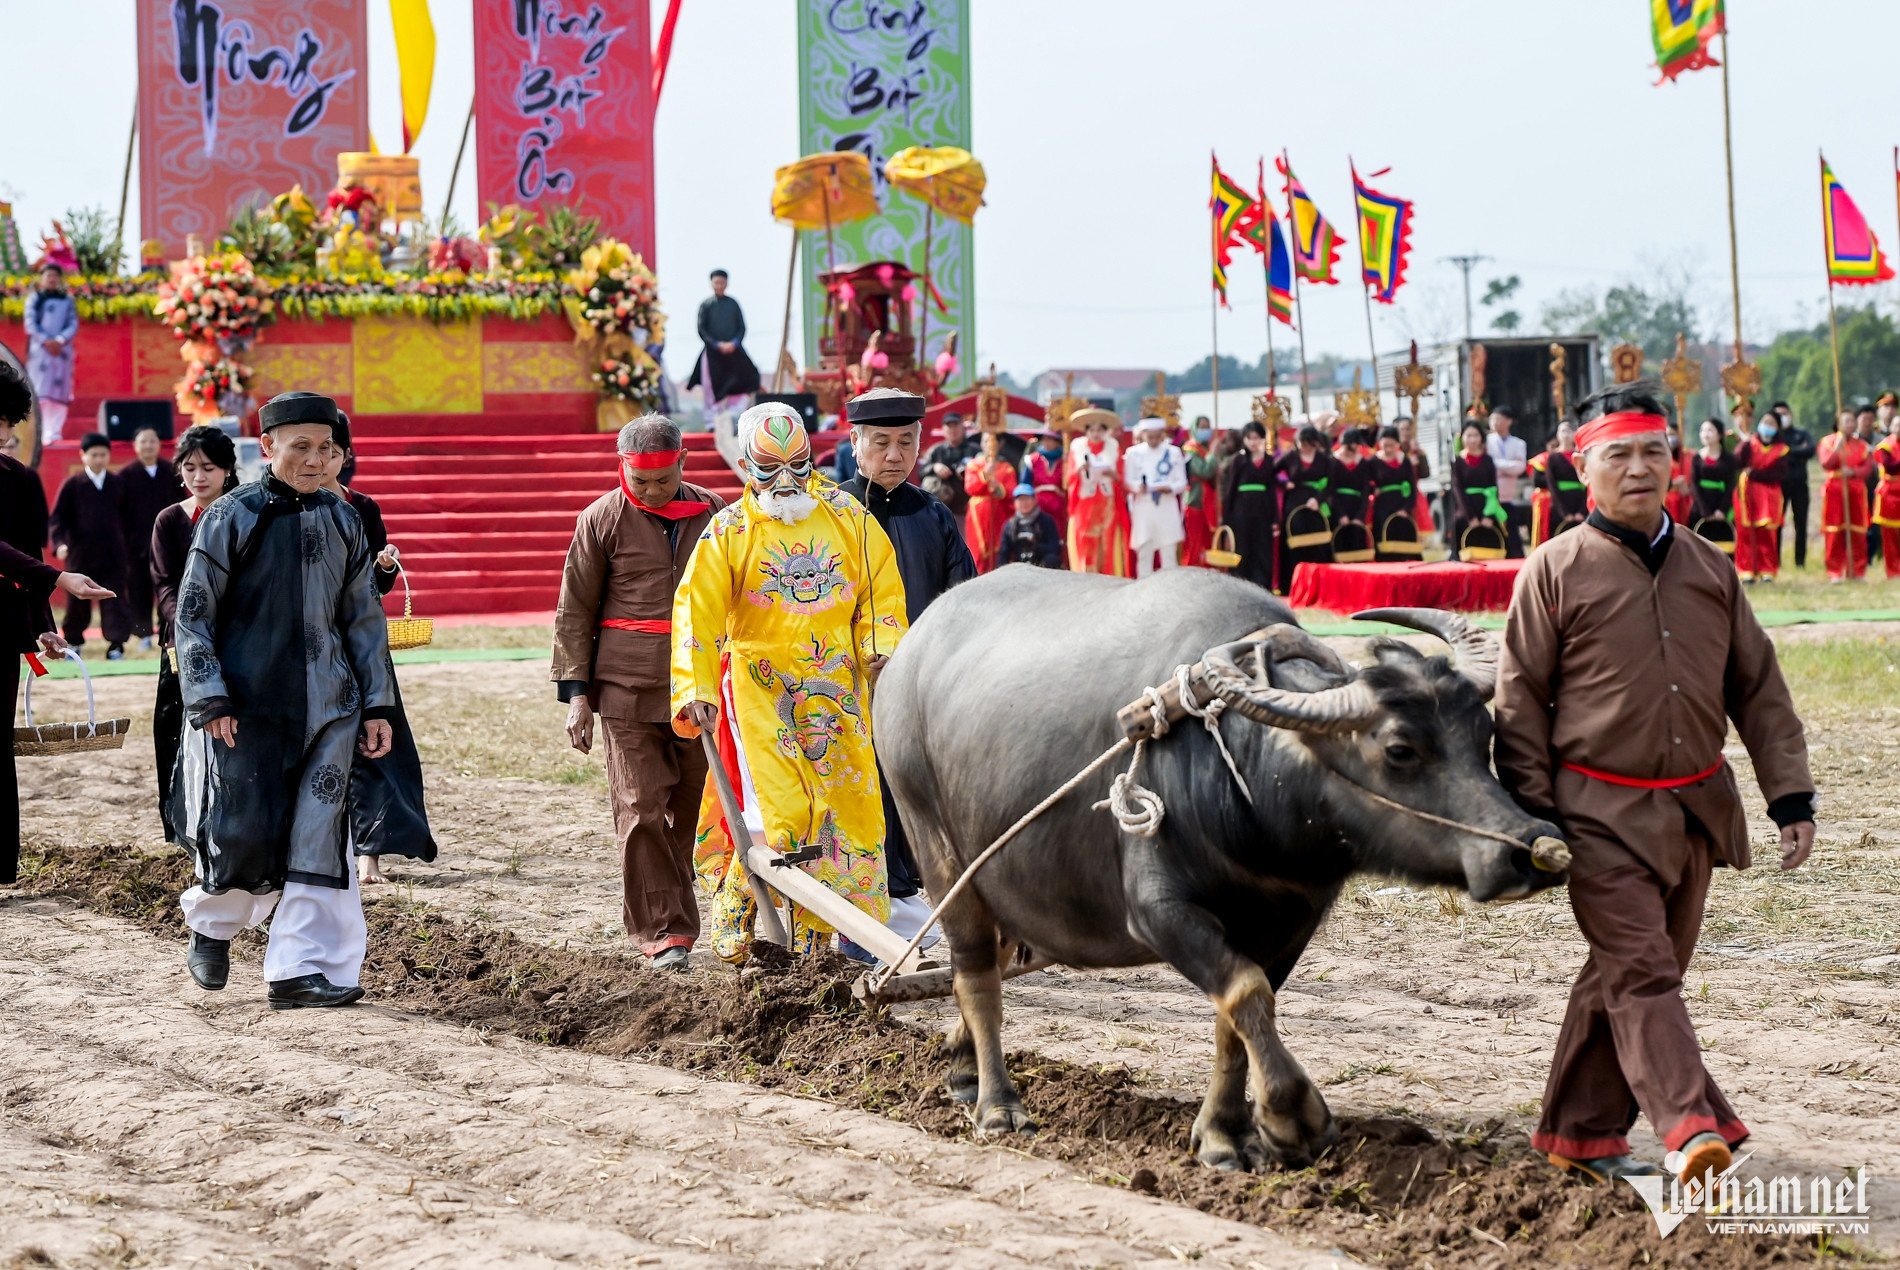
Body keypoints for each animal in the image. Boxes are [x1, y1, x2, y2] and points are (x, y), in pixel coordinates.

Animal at [870, 566, 1565, 1171]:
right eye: (1399, 750)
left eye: (1484, 733)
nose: (1532, 848)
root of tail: (907, 656)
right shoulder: (1160, 913)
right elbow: (1245, 993)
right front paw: (1293, 1120)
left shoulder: (1290, 922)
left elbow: (1240, 1017)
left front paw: (1225, 1136)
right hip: (938, 852)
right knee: (975, 974)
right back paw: (998, 1104)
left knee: (981, 963)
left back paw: (962, 1067)